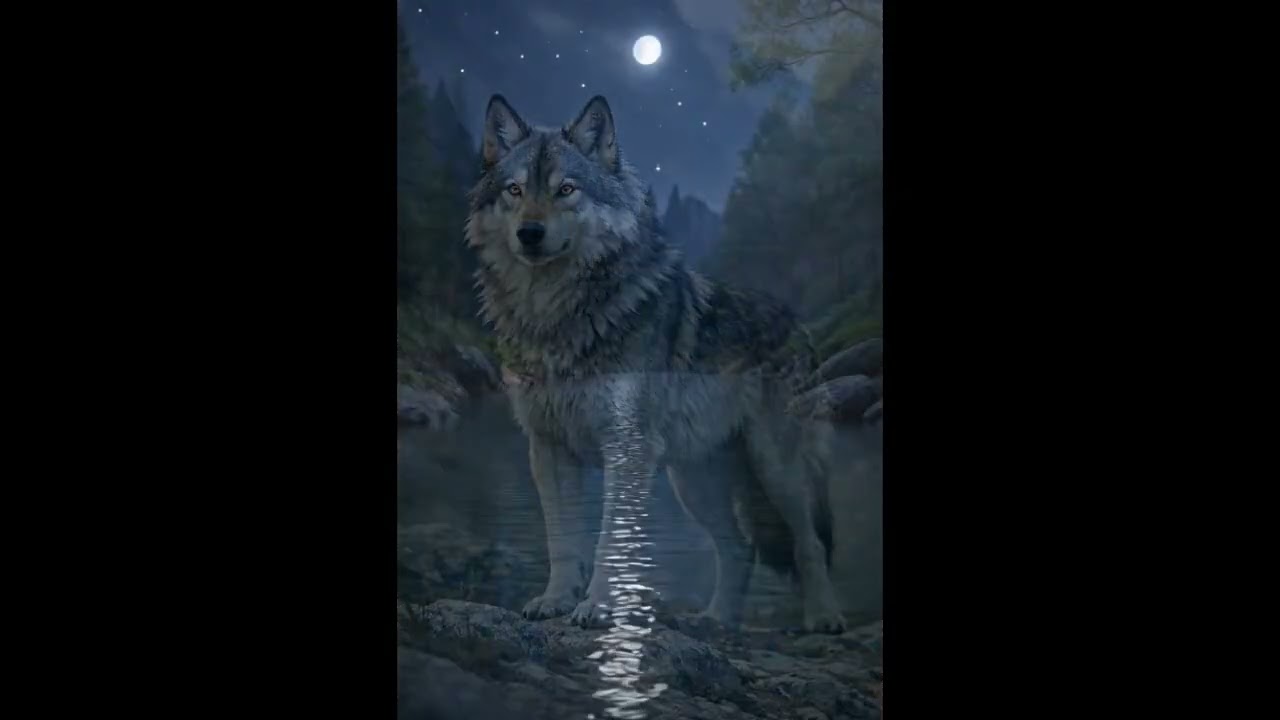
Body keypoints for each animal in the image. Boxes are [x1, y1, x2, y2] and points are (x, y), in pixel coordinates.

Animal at [465, 94, 846, 633]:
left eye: (566, 189)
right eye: (515, 190)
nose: (530, 233)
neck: (555, 317)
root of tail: (798, 322)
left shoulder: (627, 451)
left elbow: (611, 542)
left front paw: (597, 607)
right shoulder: (549, 451)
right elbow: (562, 541)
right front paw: (555, 601)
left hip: (776, 470)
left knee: (809, 542)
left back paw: (824, 617)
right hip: (693, 482)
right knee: (740, 548)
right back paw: (715, 621)